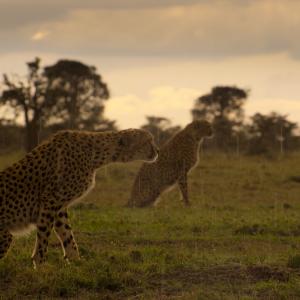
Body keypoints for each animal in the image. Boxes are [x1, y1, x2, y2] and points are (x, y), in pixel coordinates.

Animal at [0, 129, 158, 268]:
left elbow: (67, 234)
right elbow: (44, 236)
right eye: (148, 141)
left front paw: (77, 263)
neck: (97, 154)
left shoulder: (59, 207)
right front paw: (40, 266)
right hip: (6, 236)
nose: (157, 151)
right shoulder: (50, 201)